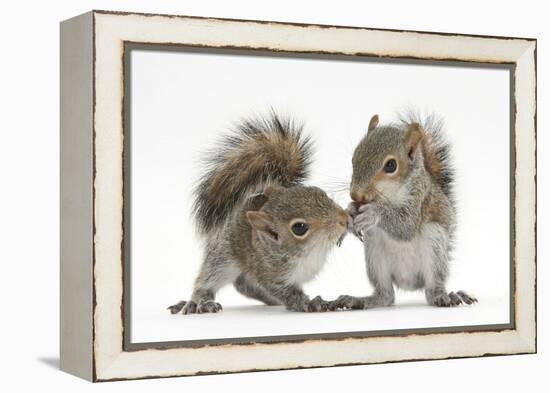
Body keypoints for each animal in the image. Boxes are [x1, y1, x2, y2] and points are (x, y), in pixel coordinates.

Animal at [169, 112, 350, 314]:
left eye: (320, 193)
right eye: (299, 228)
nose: (343, 219)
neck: (310, 252)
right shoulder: (268, 273)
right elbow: (286, 292)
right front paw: (307, 303)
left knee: (244, 284)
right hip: (223, 257)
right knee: (209, 280)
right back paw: (198, 302)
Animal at [332, 113, 478, 310]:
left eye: (391, 165)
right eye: (354, 157)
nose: (356, 194)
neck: (389, 195)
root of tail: (408, 282)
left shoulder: (419, 198)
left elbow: (406, 226)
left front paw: (373, 213)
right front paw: (349, 212)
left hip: (434, 244)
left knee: (431, 291)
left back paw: (446, 297)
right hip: (374, 252)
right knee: (386, 296)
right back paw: (359, 300)